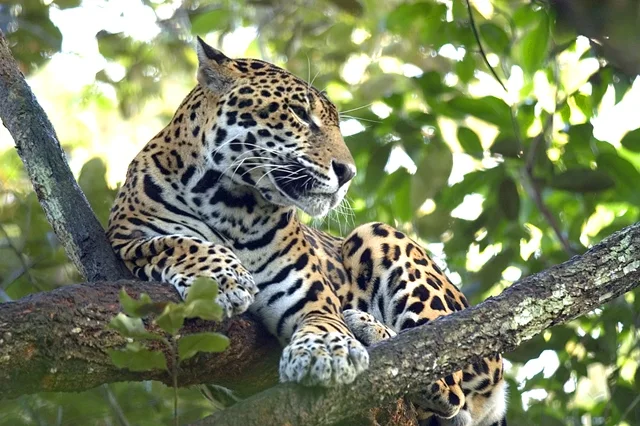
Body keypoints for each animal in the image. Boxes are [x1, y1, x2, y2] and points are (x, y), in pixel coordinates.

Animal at [106, 36, 507, 426]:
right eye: (300, 113)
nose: (348, 172)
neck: (230, 203)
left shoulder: (309, 294)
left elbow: (324, 318)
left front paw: (328, 350)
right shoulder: (128, 237)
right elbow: (179, 242)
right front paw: (223, 278)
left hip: (377, 235)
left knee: (442, 373)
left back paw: (367, 327)